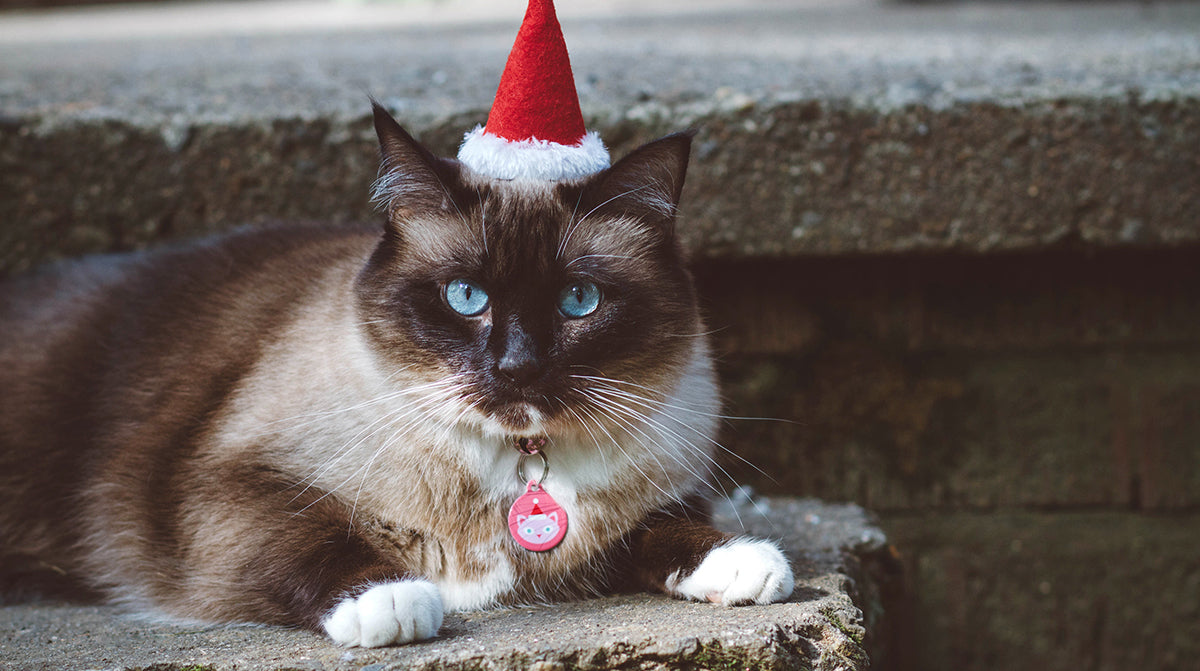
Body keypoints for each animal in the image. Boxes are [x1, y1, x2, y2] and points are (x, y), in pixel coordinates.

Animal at [0, 103, 796, 648]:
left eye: (579, 301)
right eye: (465, 297)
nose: (517, 366)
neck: (517, 461)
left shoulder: (658, 491)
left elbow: (670, 524)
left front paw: (742, 563)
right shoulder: (228, 482)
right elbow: (312, 537)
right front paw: (392, 601)